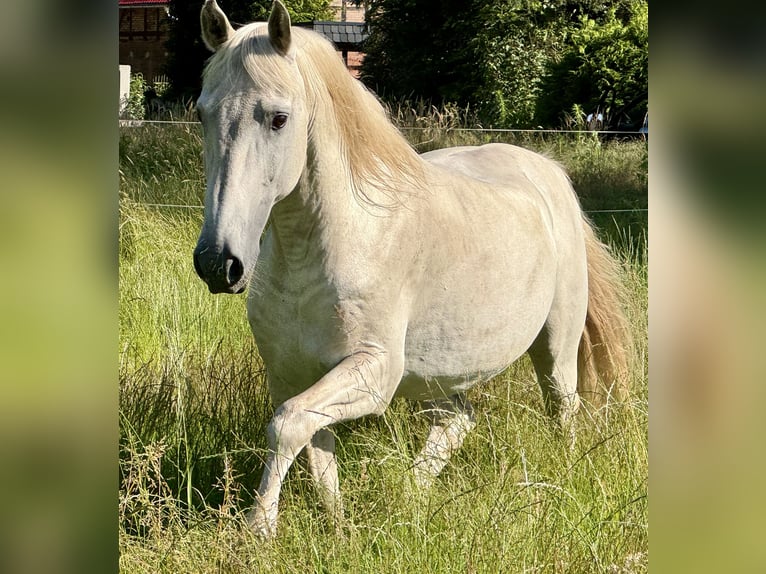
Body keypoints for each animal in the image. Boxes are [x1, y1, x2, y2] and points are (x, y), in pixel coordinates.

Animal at [192, 0, 632, 540]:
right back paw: (410, 496)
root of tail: (549, 173)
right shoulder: (293, 373)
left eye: (279, 118)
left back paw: (560, 479)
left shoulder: (375, 372)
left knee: (562, 409)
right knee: (459, 420)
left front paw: (260, 530)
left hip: (555, 347)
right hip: (435, 374)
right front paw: (339, 529)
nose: (218, 263)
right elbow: (312, 445)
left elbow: (287, 426)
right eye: (203, 113)